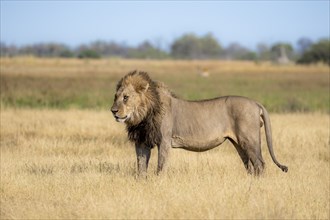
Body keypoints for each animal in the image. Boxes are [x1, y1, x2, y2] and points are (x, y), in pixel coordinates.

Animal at [110, 70, 286, 177]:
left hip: (249, 139)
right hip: (239, 143)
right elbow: (141, 166)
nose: (113, 111)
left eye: (126, 97)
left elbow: (160, 166)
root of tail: (256, 103)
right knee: (249, 164)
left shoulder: (164, 140)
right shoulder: (142, 141)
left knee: (259, 163)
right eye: (115, 97)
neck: (142, 117)